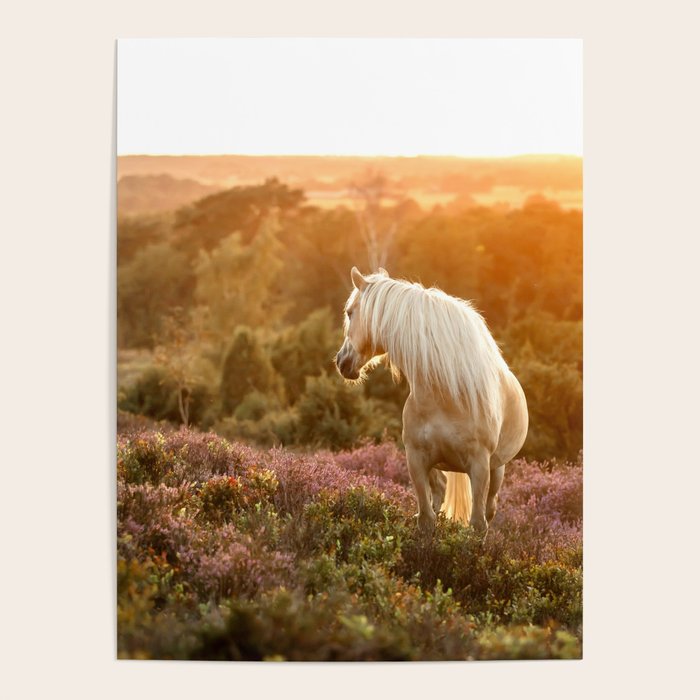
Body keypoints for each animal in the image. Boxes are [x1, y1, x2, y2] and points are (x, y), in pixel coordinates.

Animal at [335, 267, 528, 535]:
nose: (341, 362)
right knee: (440, 490)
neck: (445, 395)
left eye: (350, 312)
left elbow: (478, 524)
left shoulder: (479, 466)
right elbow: (426, 518)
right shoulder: (416, 460)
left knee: (490, 507)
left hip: (496, 468)